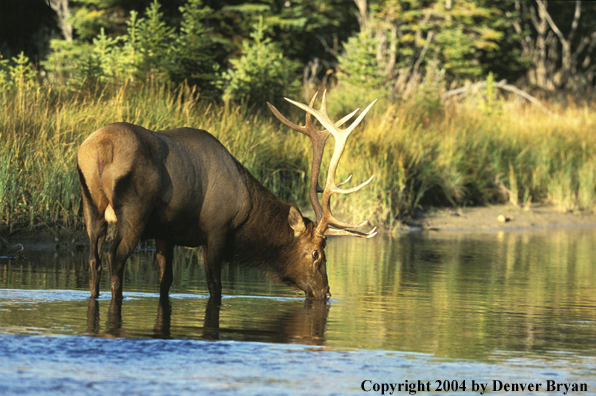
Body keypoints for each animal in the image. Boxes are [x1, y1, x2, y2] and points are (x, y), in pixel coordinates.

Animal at [77, 90, 378, 300]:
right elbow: (215, 286)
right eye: (316, 253)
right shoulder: (216, 229)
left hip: (89, 205)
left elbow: (166, 280)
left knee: (93, 258)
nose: (326, 293)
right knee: (114, 256)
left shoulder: (166, 233)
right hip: (134, 211)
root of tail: (100, 149)